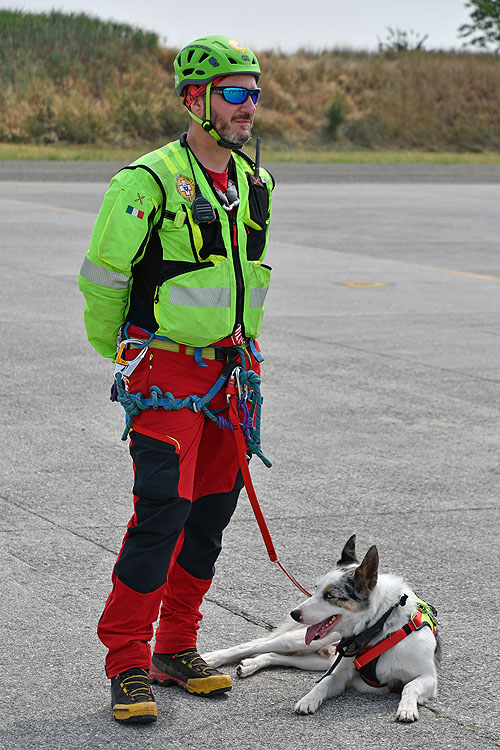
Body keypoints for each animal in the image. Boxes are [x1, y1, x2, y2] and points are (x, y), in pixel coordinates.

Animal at [201, 536, 440, 724]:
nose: (294, 613)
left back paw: (252, 664)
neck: (378, 627)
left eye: (329, 596)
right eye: (315, 590)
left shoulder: (428, 678)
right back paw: (213, 658)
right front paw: (309, 699)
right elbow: (324, 682)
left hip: (320, 660)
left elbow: (409, 686)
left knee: (277, 656)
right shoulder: (340, 674)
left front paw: (407, 707)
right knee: (257, 645)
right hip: (306, 642)